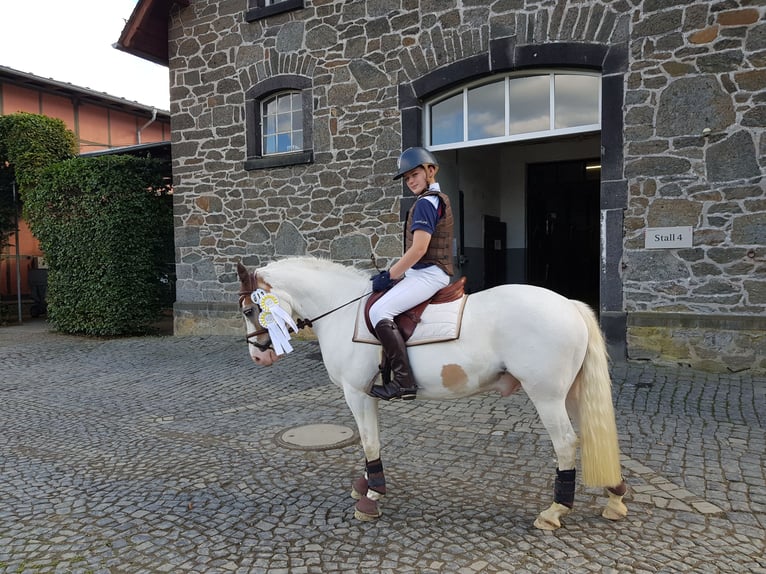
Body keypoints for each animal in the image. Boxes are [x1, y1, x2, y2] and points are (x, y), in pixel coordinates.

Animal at [236, 256, 632, 532]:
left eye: (250, 309)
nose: (257, 356)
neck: (342, 311)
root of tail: (569, 305)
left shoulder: (357, 393)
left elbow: (368, 441)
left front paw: (372, 497)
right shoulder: (367, 396)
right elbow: (370, 440)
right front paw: (366, 484)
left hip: (547, 396)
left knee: (565, 443)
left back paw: (554, 511)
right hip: (571, 393)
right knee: (593, 434)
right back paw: (614, 497)